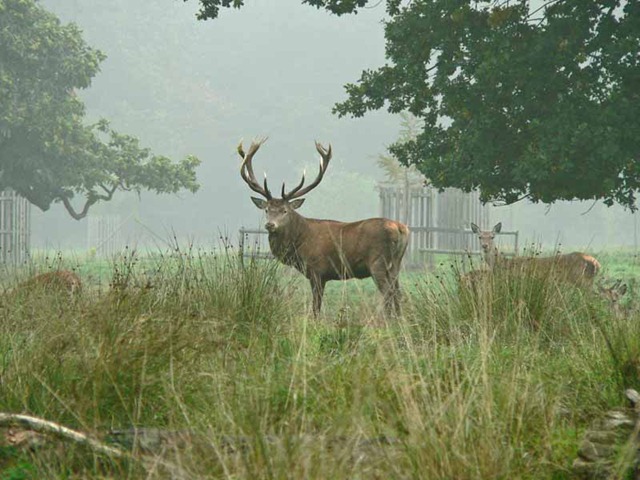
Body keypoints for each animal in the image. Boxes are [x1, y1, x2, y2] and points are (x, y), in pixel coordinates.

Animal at [238, 138, 410, 317]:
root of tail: (401, 228)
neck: (299, 244)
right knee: (397, 292)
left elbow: (316, 307)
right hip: (396, 264)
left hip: (378, 261)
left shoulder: (317, 270)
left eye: (285, 210)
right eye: (266, 209)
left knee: (388, 293)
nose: (270, 224)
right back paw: (398, 319)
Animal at [469, 222, 601, 286]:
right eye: (480, 237)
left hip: (581, 279)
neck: (503, 265)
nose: (485, 246)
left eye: (492, 237)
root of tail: (597, 264)